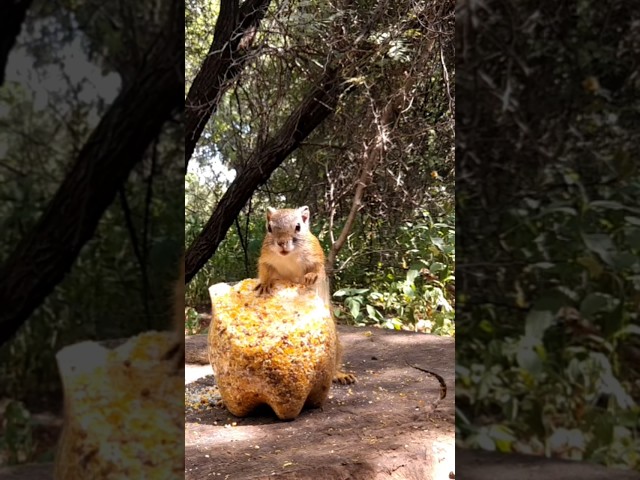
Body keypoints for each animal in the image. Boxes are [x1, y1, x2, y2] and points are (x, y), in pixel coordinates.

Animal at [255, 204, 356, 384]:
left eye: (298, 227)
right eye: (269, 228)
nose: (281, 243)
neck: (289, 256)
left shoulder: (315, 254)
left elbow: (317, 268)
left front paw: (310, 276)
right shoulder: (266, 257)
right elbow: (265, 270)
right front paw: (265, 284)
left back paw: (339, 374)